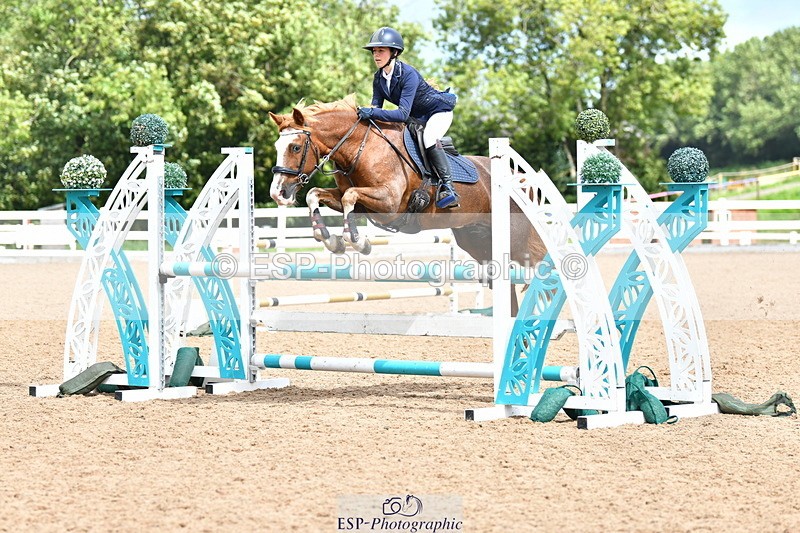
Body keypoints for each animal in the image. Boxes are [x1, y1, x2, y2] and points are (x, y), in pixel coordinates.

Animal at [268, 94, 545, 307]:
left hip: (515, 240)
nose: (278, 193)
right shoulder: (362, 201)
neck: (360, 148)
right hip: (476, 239)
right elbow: (316, 194)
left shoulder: (389, 203)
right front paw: (330, 239)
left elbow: (350, 196)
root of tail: (522, 181)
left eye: (295, 147)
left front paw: (358, 241)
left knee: (540, 263)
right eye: (277, 146)